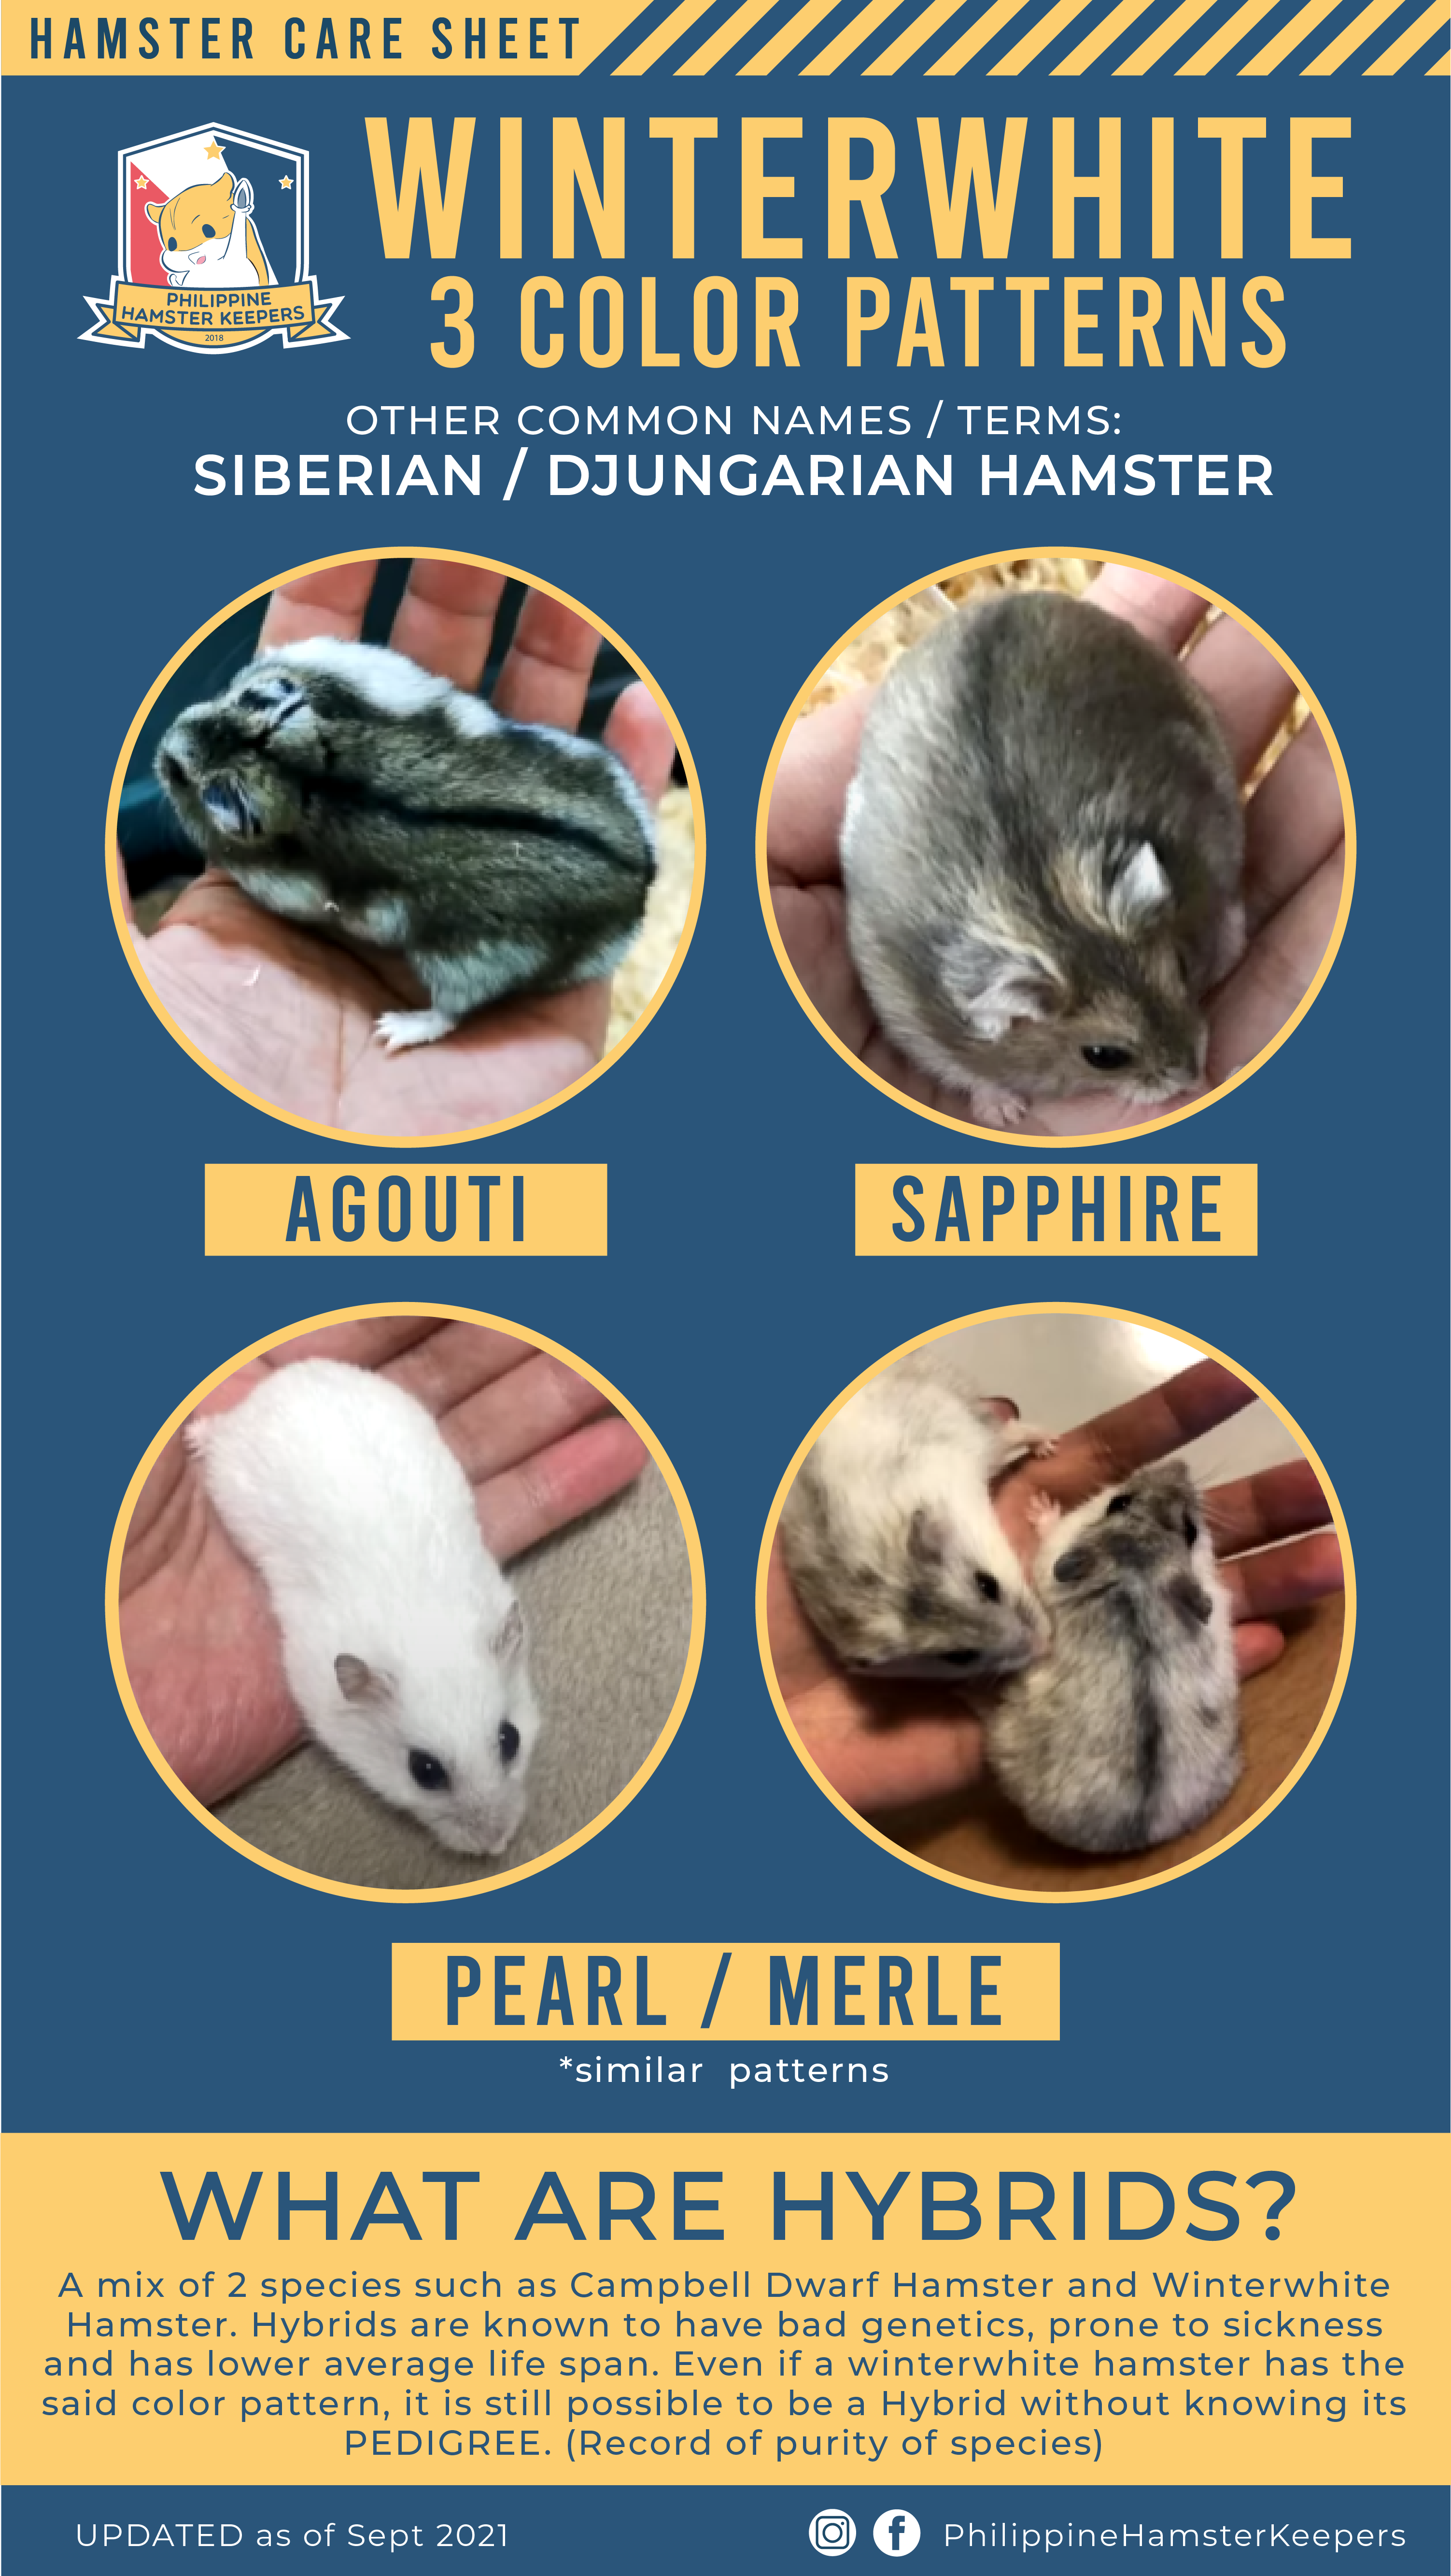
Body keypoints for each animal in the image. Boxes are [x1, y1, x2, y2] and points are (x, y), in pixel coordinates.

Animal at [156, 635, 657, 1053]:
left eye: (188, 781)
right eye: (249, 697)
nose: (164, 744)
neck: (308, 777)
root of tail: (640, 886)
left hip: (468, 961)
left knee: (452, 1012)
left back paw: (394, 1030)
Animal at [780, 1355, 1053, 1679]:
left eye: (988, 1584)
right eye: (960, 1657)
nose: (1045, 1644)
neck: (886, 1575)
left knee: (1010, 1432)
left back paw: (1047, 1446)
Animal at [839, 590, 1245, 1127]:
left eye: (1179, 969)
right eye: (1103, 1057)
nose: (1192, 1075)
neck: (1047, 915)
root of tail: (1005, 600)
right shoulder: (910, 1016)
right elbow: (969, 1071)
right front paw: (1005, 1113)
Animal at [985, 1462, 1240, 1853]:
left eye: (1190, 1531)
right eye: (1119, 1503)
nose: (1181, 1464)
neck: (1136, 1579)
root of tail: (1131, 1839)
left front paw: (1040, 1506)